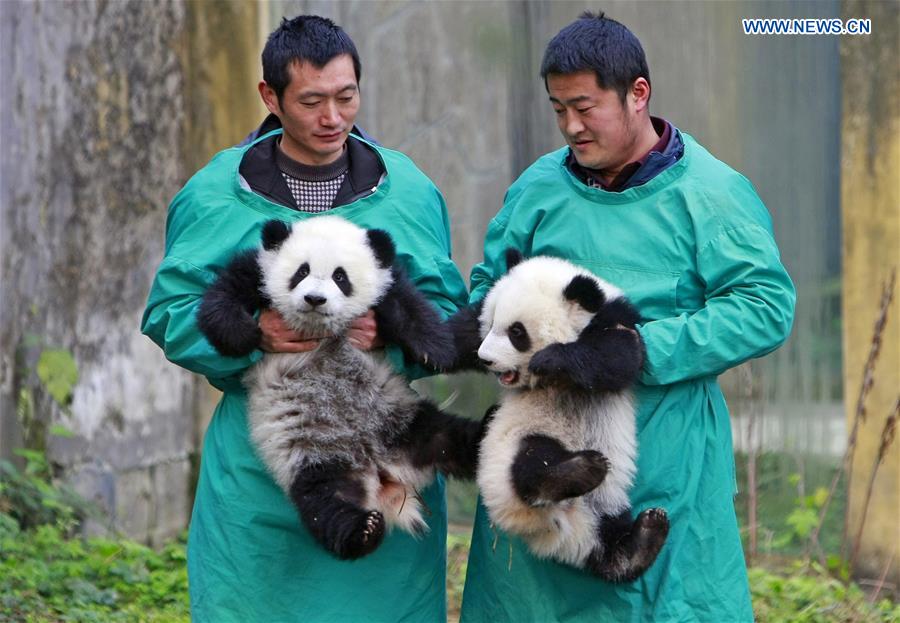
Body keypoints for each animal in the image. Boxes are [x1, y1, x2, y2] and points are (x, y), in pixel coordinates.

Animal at [197, 215, 482, 560]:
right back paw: (362, 532)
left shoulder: (386, 280)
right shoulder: (258, 267)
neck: (323, 329)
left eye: (340, 276)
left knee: (450, 436)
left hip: (404, 420)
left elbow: (409, 305)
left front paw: (435, 350)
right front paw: (243, 334)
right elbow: (223, 296)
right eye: (301, 272)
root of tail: (383, 471)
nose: (315, 299)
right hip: (315, 457)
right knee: (325, 503)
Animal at [471, 249, 669, 582]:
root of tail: (558, 523)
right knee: (532, 464)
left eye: (516, 332)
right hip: (520, 440)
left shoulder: (616, 321)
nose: (485, 359)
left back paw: (645, 535)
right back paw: (580, 470)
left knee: (610, 546)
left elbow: (619, 357)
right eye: (491, 322)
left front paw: (551, 359)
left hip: (604, 506)